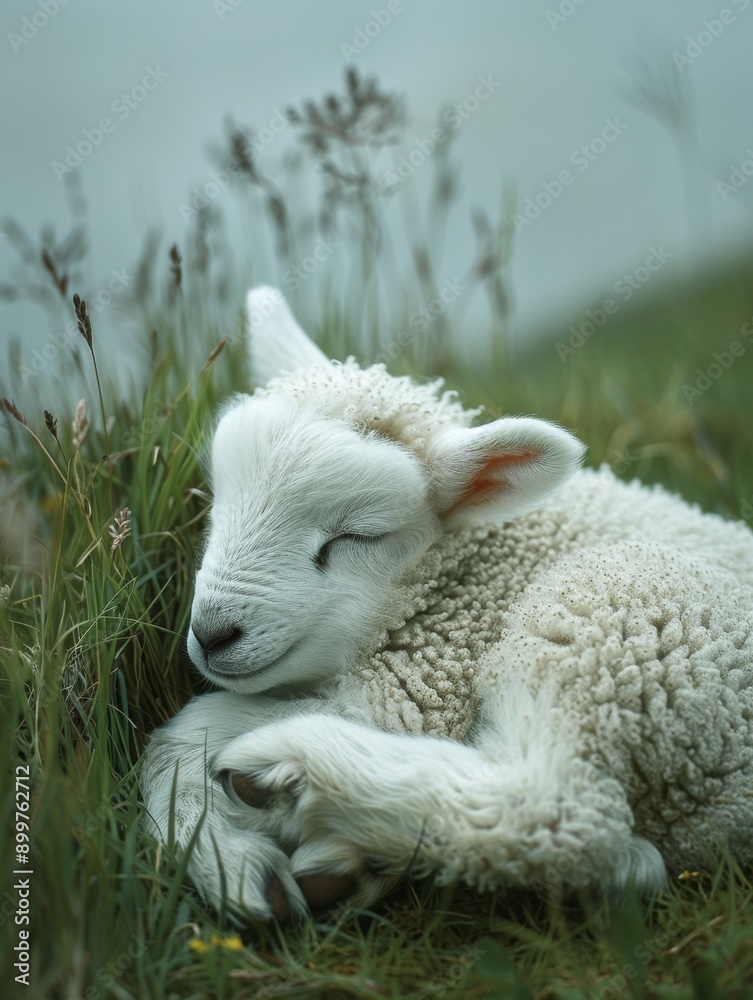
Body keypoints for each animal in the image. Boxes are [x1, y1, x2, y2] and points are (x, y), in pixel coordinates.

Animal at [140, 286, 753, 923]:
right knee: (625, 859)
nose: (213, 634)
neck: (470, 572)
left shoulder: (417, 691)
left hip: (617, 623)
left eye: (356, 535)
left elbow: (181, 736)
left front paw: (230, 859)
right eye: (217, 500)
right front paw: (222, 851)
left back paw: (293, 774)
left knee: (560, 810)